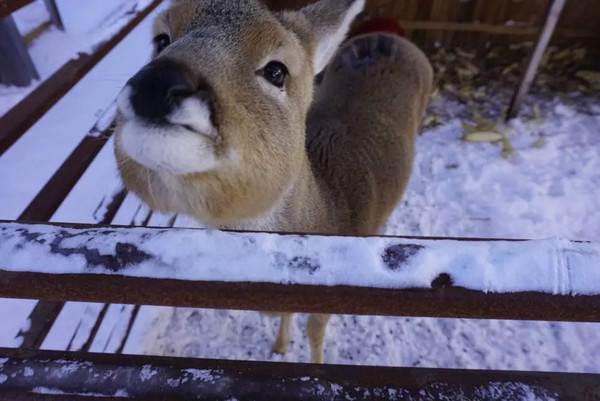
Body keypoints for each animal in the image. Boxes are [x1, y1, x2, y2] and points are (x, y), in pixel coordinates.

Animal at [113, 0, 432, 362]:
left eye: (276, 70)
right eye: (161, 39)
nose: (156, 83)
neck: (331, 211)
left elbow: (315, 334)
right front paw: (279, 346)